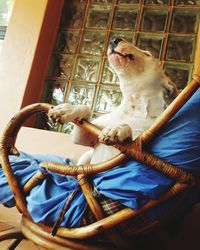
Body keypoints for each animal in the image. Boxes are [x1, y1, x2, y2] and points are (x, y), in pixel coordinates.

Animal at [48, 38, 177, 165]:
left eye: (147, 54)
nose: (115, 40)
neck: (133, 106)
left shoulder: (137, 150)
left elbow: (129, 133)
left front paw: (117, 128)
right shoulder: (84, 137)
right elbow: (86, 109)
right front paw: (66, 110)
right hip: (86, 156)